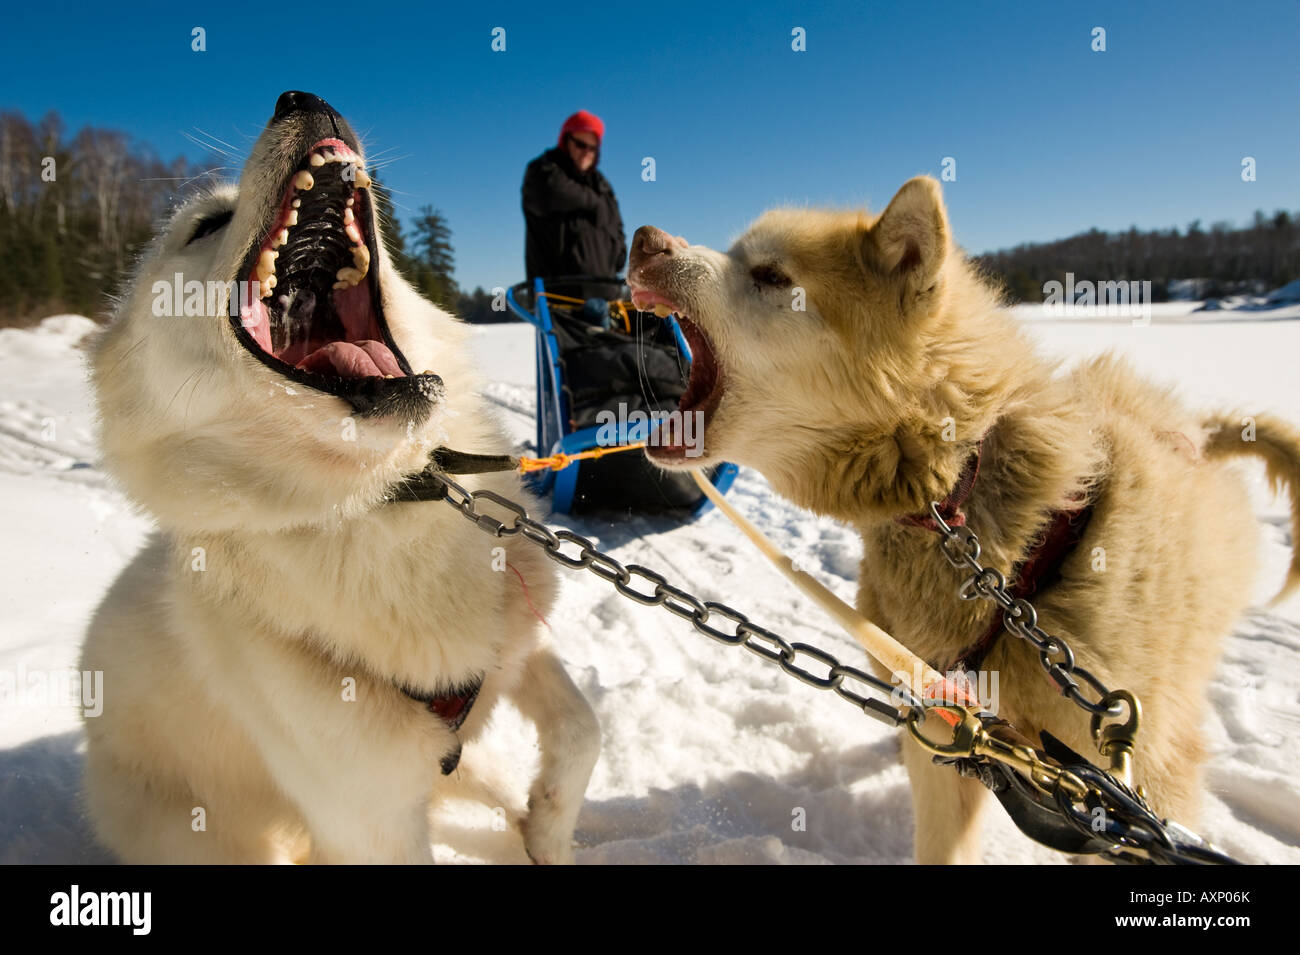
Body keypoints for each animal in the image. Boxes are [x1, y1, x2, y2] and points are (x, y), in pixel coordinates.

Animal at [83, 91, 600, 867]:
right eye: (205, 225)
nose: (299, 98)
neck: (387, 495)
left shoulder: (519, 649)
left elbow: (583, 727)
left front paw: (548, 827)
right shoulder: (371, 819)